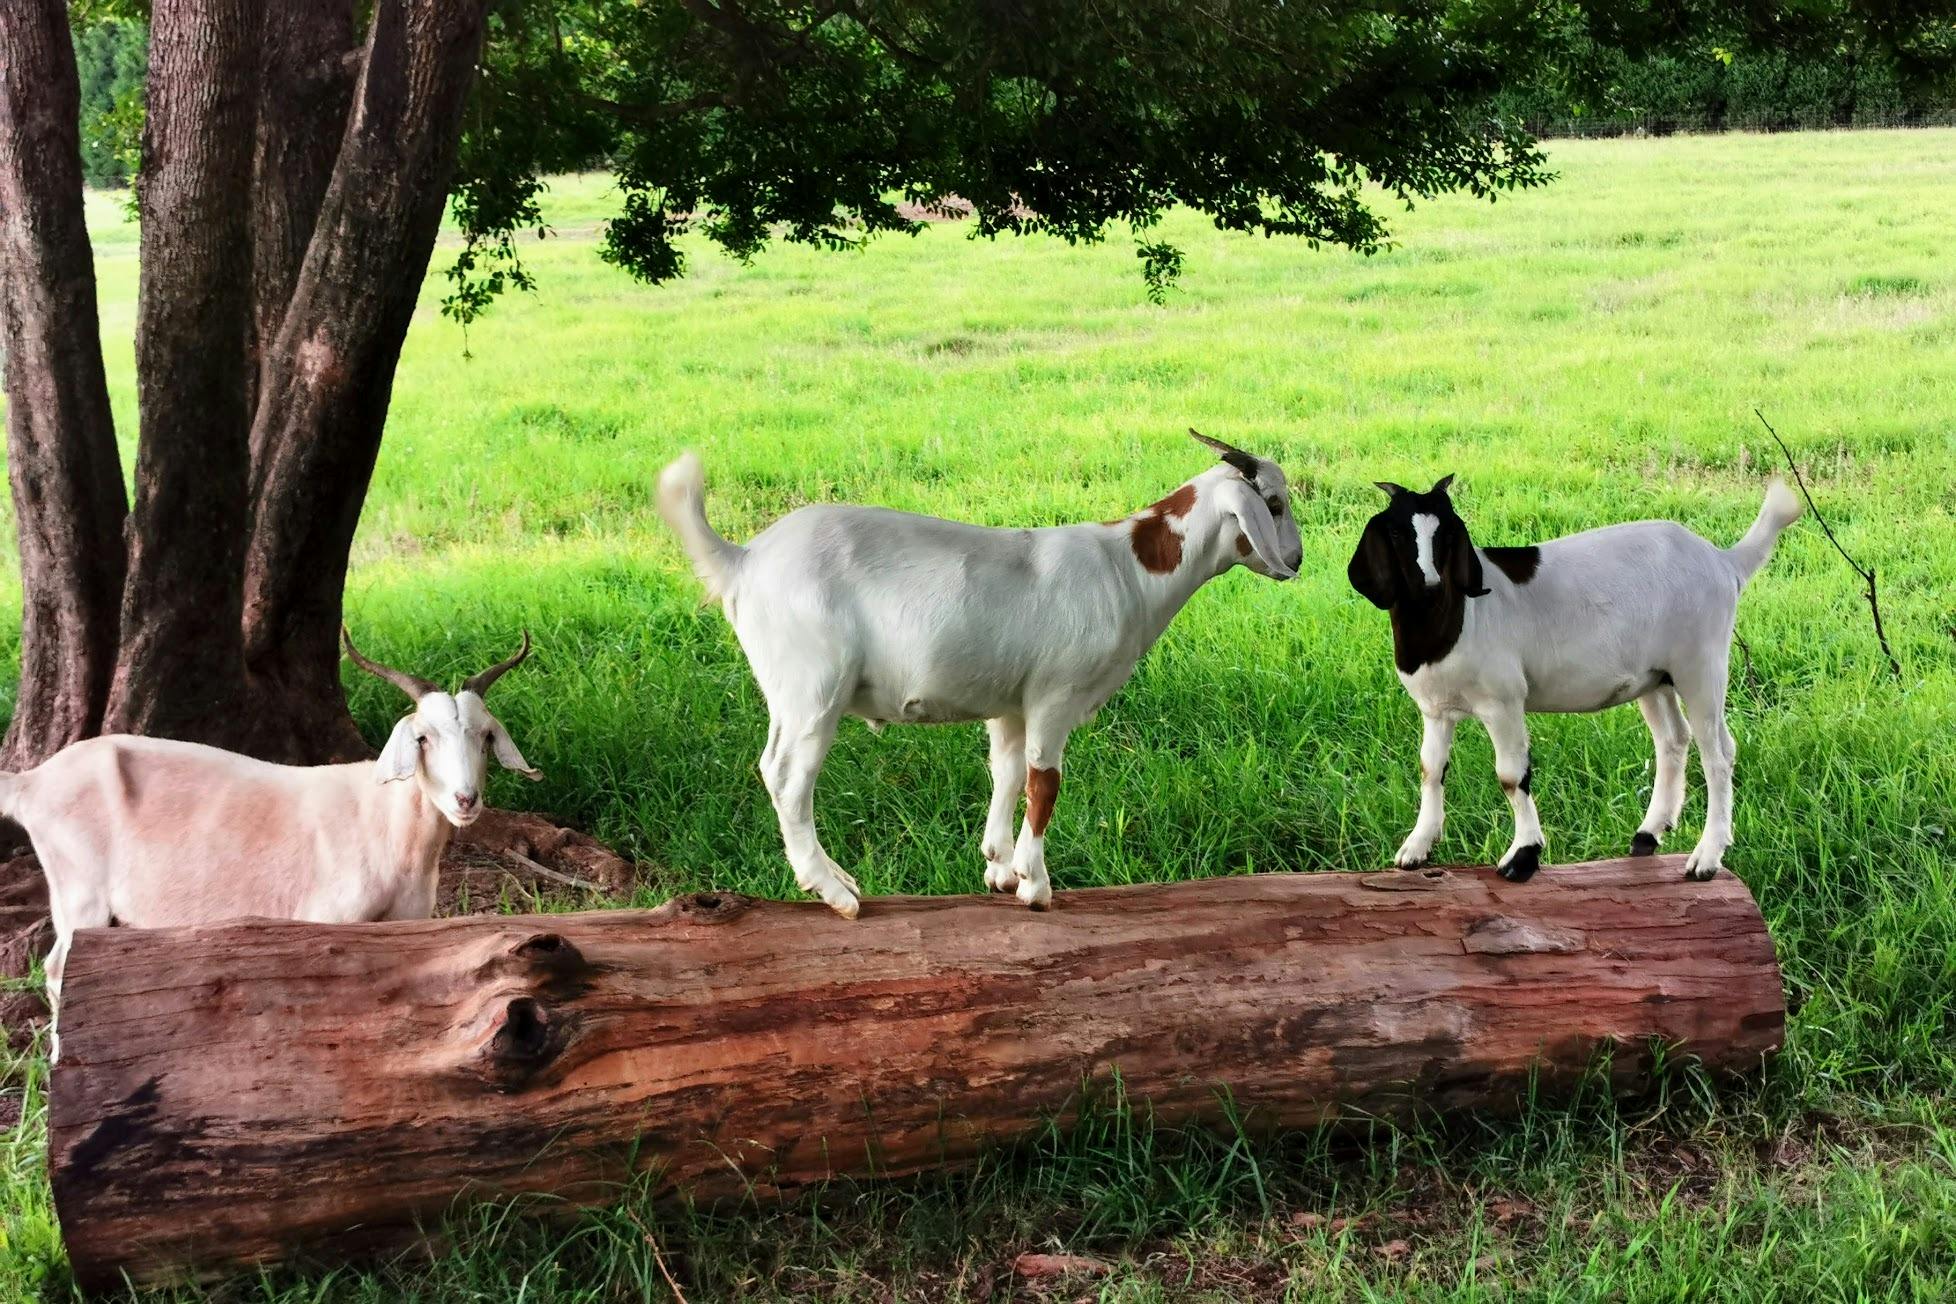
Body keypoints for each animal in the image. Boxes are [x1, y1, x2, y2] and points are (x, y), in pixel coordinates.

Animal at [1, 630, 539, 1059]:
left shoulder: (405, 925)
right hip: (78, 887)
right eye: (423, 738)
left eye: (486, 737)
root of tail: (31, 783)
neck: (385, 819)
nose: (465, 799)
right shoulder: (328, 920)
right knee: (58, 967)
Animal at [657, 430, 1303, 917]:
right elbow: (1045, 782)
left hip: (787, 690)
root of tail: (743, 560)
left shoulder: (1013, 702)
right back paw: (835, 891)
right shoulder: (1055, 694)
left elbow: (1008, 772)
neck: (1128, 569)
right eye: (1273, 504)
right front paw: (1036, 885)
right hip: (814, 684)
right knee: (788, 778)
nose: (1296, 560)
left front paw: (999, 867)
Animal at [1348, 475, 1801, 882]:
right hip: (1656, 677)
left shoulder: (1503, 700)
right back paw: (1648, 834)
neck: (1455, 617)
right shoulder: (1435, 709)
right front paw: (1416, 848)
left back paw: (1706, 857)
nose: (1429, 584)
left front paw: (1522, 857)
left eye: (1446, 533)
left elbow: (1511, 775)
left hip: (1701, 661)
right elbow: (1430, 768)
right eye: (1395, 531)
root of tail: (1724, 561)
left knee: (1718, 752)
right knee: (1674, 738)